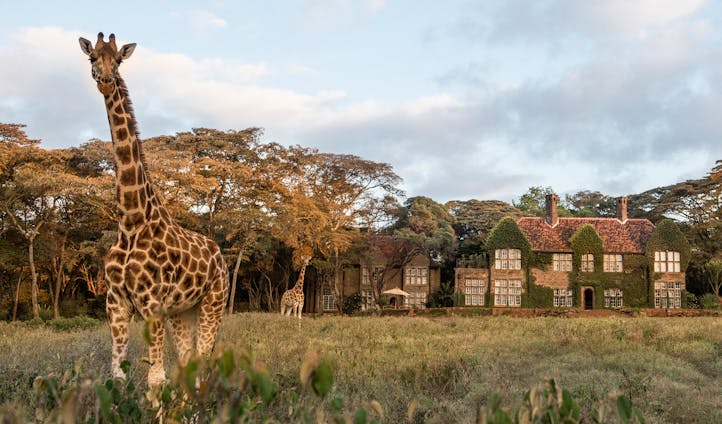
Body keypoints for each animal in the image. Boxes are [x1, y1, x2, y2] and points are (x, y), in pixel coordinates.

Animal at [78, 33, 228, 388]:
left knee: (203, 363)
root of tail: (221, 256)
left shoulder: (152, 303)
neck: (131, 222)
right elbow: (117, 374)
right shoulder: (116, 304)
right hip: (183, 311)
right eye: (92, 58)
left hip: (213, 302)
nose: (106, 80)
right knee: (188, 362)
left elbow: (156, 379)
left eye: (119, 59)